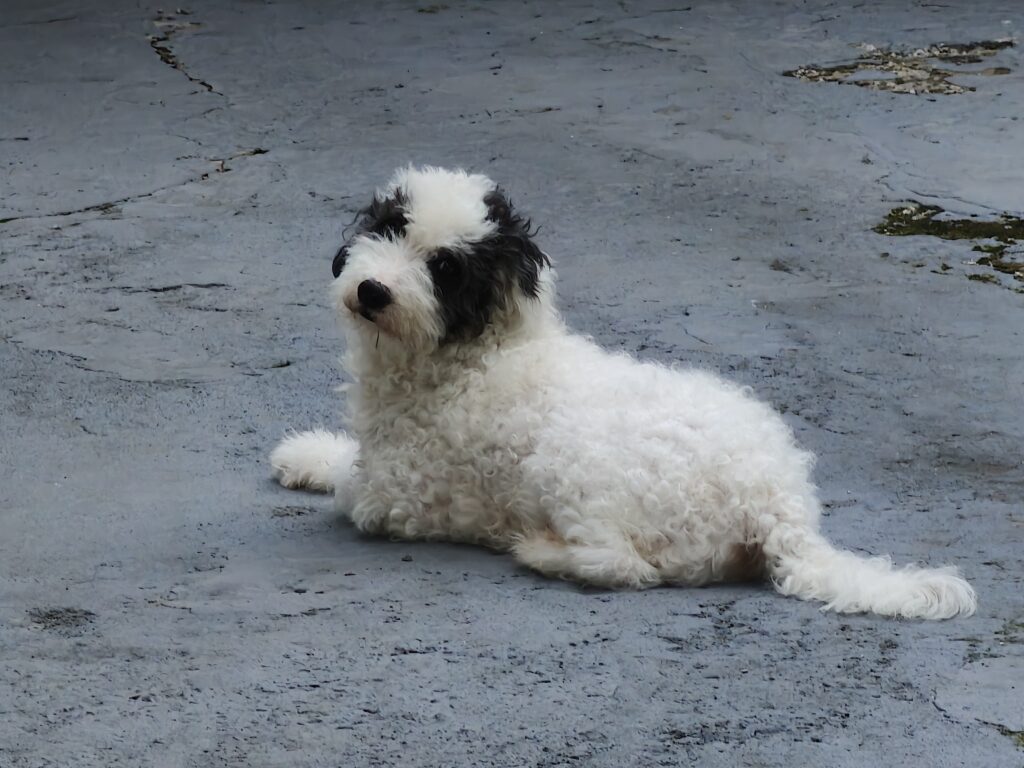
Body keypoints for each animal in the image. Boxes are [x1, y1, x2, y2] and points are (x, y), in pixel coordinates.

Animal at [270, 165, 974, 622]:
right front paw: (306, 453)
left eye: (444, 267)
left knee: (629, 568)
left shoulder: (396, 496)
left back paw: (539, 550)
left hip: (571, 466)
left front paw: (318, 462)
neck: (476, 352)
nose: (372, 291)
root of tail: (782, 511)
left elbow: (351, 480)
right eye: (391, 228)